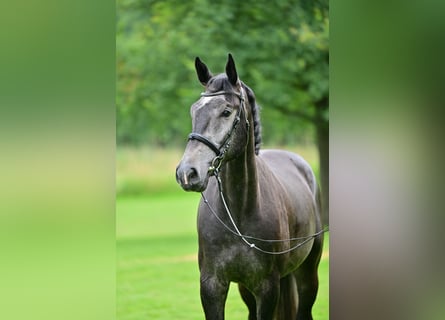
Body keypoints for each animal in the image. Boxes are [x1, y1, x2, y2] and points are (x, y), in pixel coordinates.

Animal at [175, 53, 324, 318]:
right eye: (194, 110)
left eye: (226, 111)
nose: (187, 173)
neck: (238, 212)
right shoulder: (212, 286)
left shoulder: (267, 287)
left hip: (307, 274)